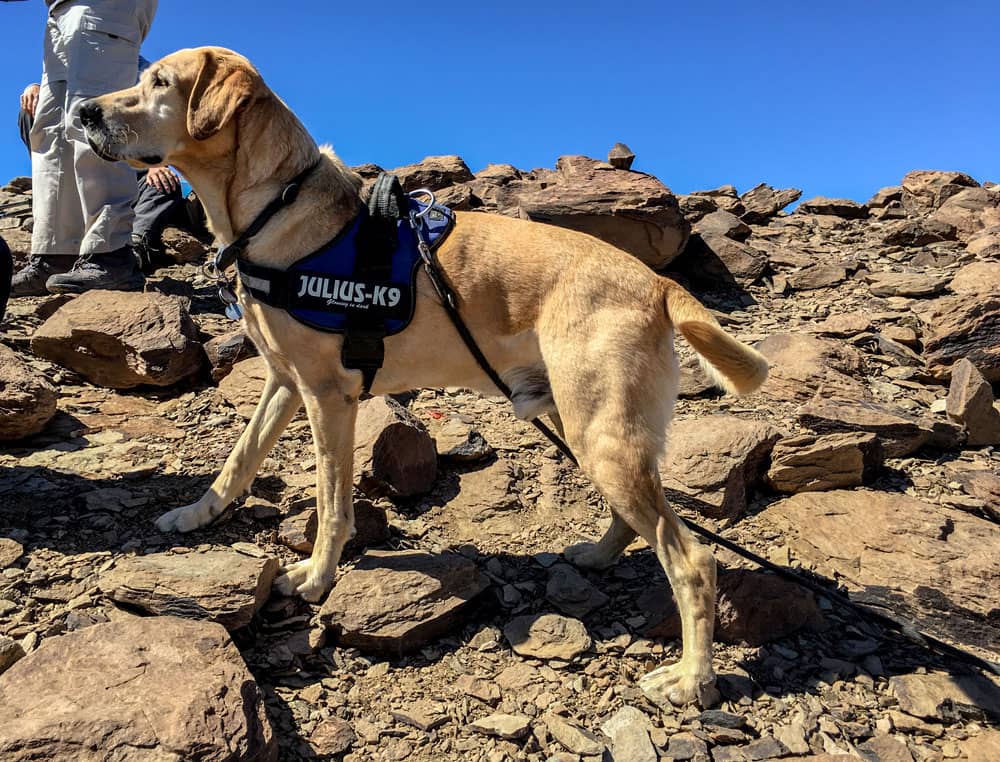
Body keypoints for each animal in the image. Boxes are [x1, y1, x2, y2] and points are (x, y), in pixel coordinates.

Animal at [82, 47, 768, 708]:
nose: (84, 110)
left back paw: (691, 680)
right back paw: (598, 557)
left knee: (692, 559)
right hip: (591, 426)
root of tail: (656, 282)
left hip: (602, 433)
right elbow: (239, 460)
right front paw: (195, 517)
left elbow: (332, 501)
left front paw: (316, 577)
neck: (274, 208)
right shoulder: (283, 382)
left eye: (161, 83)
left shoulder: (329, 397)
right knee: (638, 521)